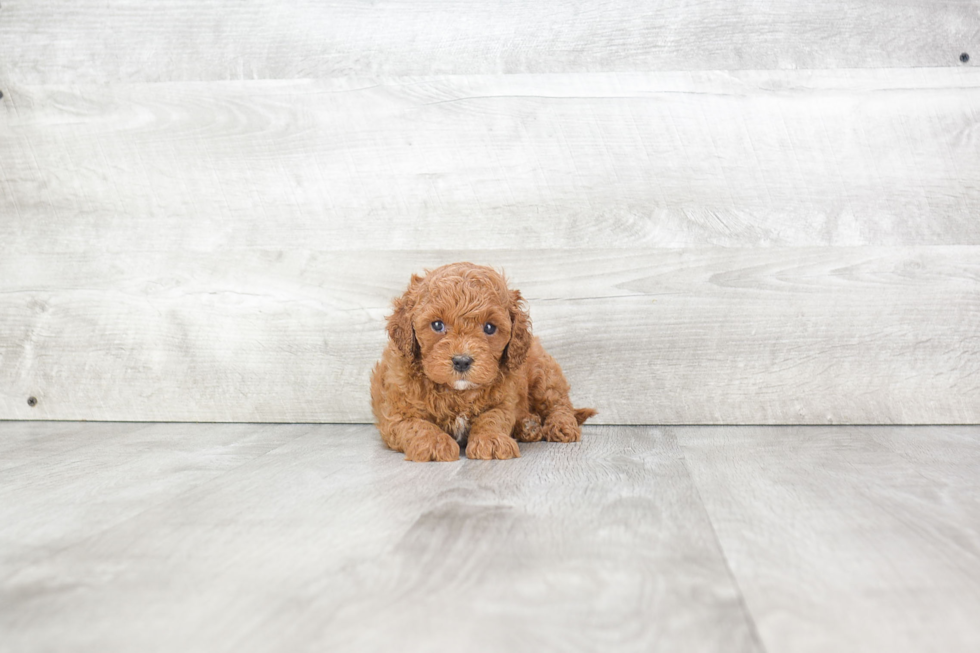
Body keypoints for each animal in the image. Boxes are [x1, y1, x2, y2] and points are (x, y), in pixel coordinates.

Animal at [370, 262, 592, 460]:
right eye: (437, 325)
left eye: (489, 327)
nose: (462, 361)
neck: (457, 393)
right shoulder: (397, 413)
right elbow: (417, 425)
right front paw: (434, 442)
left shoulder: (503, 402)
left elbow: (491, 419)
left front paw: (492, 440)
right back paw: (529, 426)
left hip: (543, 374)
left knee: (559, 404)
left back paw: (559, 426)